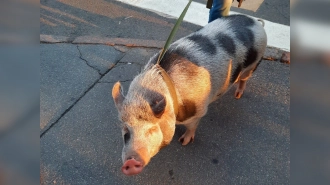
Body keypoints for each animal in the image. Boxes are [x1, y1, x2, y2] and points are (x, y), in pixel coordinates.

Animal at [112, 14, 266, 175]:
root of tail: (255, 22)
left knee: (244, 79)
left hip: (253, 65)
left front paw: (183, 142)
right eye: (126, 133)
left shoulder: (198, 110)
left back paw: (238, 95)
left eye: (152, 129)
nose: (130, 162)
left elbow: (192, 126)